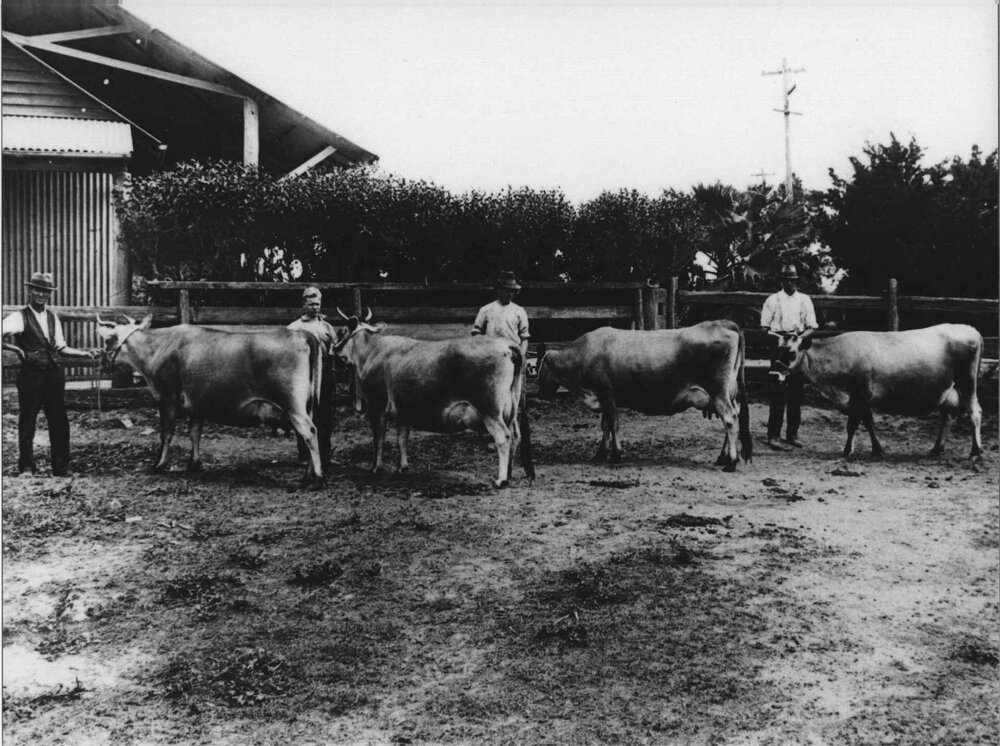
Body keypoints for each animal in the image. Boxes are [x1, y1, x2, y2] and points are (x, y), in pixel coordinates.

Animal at [95, 315, 325, 483]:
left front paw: (159, 465)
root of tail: (298, 333)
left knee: (310, 431)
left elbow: (166, 434)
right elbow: (195, 433)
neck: (159, 347)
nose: (100, 359)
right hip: (307, 405)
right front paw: (193, 463)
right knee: (312, 432)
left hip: (293, 405)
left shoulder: (167, 398)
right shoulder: (198, 404)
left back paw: (317, 478)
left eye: (107, 339)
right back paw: (309, 474)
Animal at [333, 310, 528, 487]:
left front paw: (375, 468)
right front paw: (402, 467)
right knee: (516, 436)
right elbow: (402, 438)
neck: (372, 352)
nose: (333, 348)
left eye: (342, 331)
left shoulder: (376, 405)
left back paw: (501, 479)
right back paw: (510, 473)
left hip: (490, 409)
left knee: (503, 437)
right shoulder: (404, 409)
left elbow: (379, 438)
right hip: (511, 406)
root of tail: (505, 345)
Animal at [536, 320, 753, 471]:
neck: (584, 353)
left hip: (719, 392)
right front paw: (601, 453)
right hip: (728, 393)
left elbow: (613, 425)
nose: (540, 393)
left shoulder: (607, 393)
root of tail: (721, 323)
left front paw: (616, 454)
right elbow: (605, 425)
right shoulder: (606, 398)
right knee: (731, 419)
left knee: (730, 420)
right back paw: (723, 457)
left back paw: (731, 462)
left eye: (539, 368)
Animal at [773, 323, 983, 459]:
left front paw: (847, 451)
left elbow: (853, 425)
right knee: (946, 418)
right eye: (775, 350)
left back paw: (975, 451)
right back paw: (936, 449)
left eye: (791, 352)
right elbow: (869, 423)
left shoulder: (860, 394)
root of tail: (970, 329)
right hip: (946, 392)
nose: (774, 373)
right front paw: (877, 449)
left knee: (975, 413)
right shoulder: (863, 399)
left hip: (967, 384)